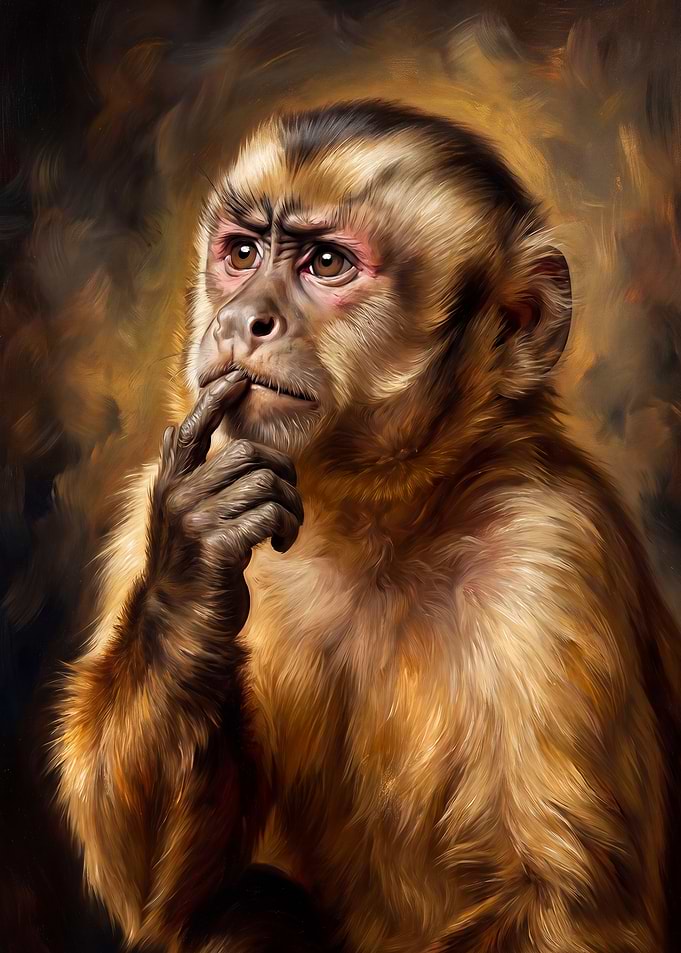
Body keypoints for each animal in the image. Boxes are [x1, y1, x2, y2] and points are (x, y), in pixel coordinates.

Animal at [53, 100, 681, 953]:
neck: (376, 518)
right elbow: (166, 895)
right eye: (242, 253)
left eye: (326, 264)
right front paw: (193, 566)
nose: (241, 319)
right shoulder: (148, 501)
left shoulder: (553, 547)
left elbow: (568, 905)